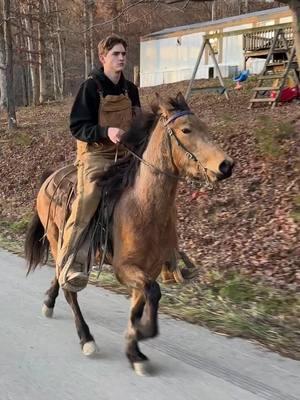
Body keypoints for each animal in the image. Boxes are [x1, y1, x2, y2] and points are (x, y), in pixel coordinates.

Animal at [24, 92, 233, 376]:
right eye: (186, 130)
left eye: (204, 127)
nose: (226, 165)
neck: (142, 205)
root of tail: (49, 177)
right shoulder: (125, 269)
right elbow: (153, 293)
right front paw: (143, 333)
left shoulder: (149, 269)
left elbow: (140, 304)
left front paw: (134, 350)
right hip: (58, 240)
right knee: (70, 287)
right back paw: (86, 338)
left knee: (61, 274)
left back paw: (49, 302)